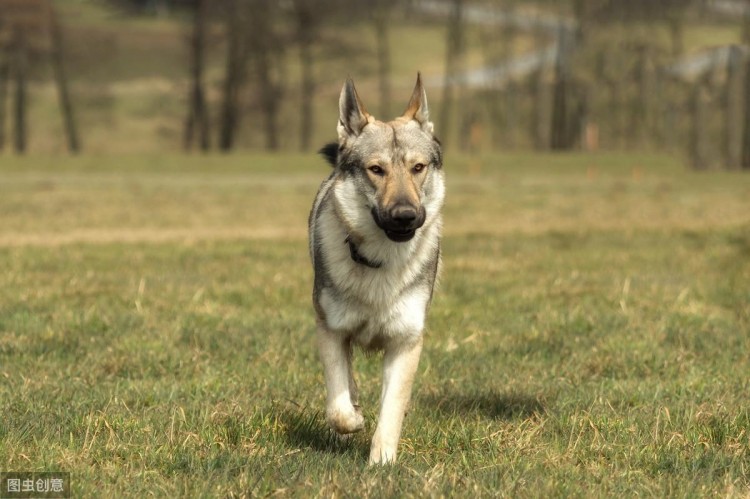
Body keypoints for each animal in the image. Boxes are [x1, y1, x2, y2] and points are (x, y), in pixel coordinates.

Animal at [310, 74, 446, 464]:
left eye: (418, 168)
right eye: (376, 170)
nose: (405, 216)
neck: (382, 260)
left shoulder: (406, 341)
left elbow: (391, 410)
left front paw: (382, 462)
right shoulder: (331, 329)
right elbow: (338, 406)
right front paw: (353, 420)